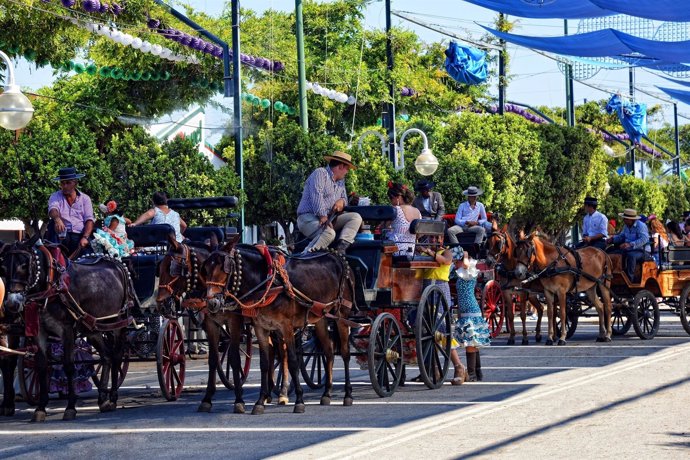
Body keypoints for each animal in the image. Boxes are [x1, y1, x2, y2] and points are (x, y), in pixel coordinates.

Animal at [0, 237, 133, 420]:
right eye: (4, 268)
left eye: (24, 265)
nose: (12, 304)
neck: (50, 287)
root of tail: (115, 262)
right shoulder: (39, 331)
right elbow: (41, 365)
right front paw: (40, 408)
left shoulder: (67, 330)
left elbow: (69, 366)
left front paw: (70, 407)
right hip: (91, 328)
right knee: (106, 356)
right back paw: (102, 398)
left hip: (117, 322)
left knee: (117, 356)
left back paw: (112, 397)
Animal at [203, 243, 354, 416]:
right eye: (205, 269)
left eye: (225, 269)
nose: (212, 303)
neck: (266, 282)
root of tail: (337, 255)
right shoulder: (260, 327)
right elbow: (264, 363)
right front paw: (260, 401)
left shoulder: (286, 326)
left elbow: (293, 361)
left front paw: (299, 401)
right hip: (320, 318)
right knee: (328, 352)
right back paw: (327, 393)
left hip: (342, 314)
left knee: (345, 353)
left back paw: (348, 395)